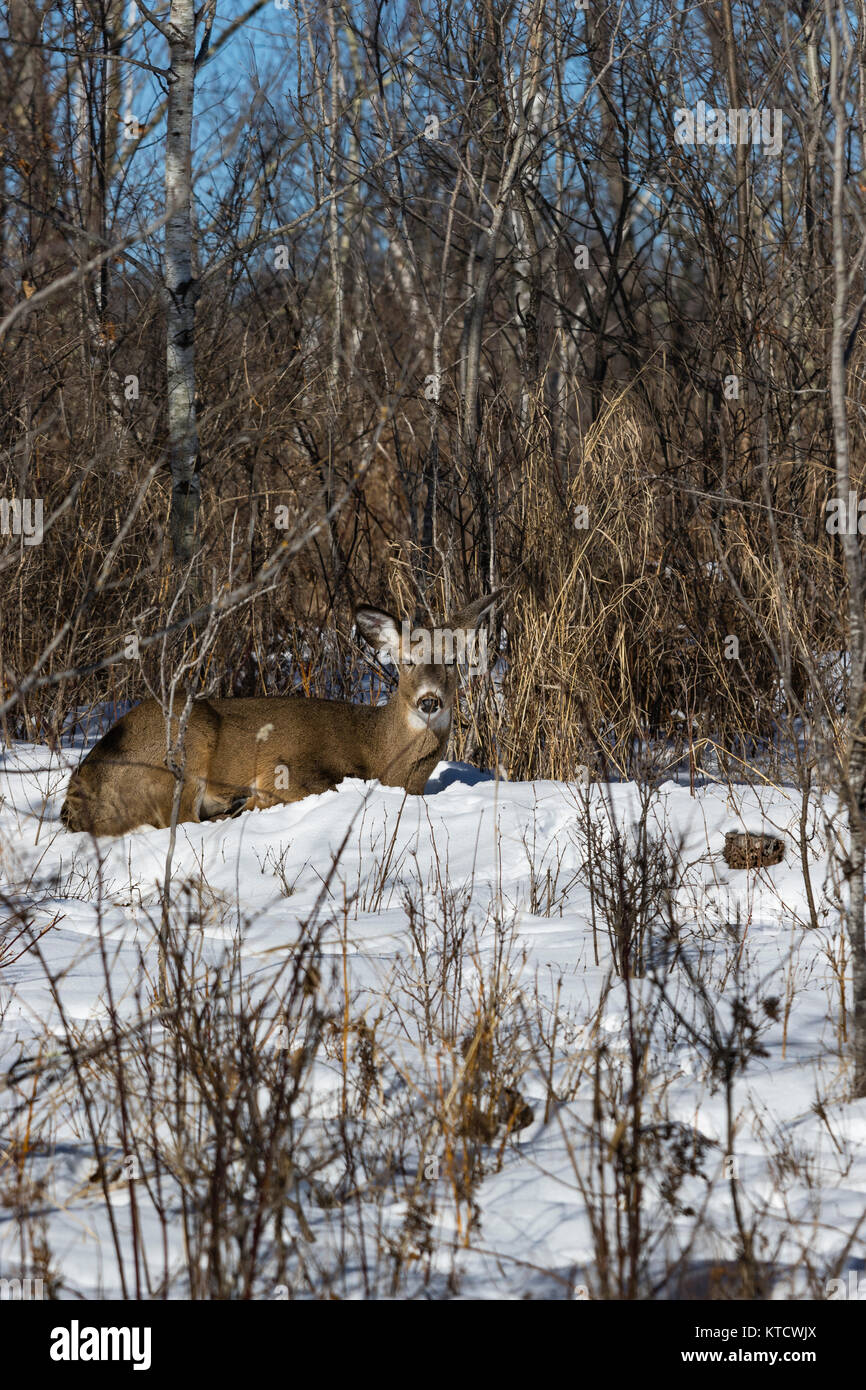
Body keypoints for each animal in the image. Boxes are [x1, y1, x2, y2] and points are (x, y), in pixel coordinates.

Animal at [59, 589, 500, 834]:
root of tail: (77, 795)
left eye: (453, 660)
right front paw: (254, 802)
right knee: (182, 819)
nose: (429, 701)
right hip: (186, 747)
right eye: (406, 661)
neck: (382, 755)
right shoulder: (287, 764)